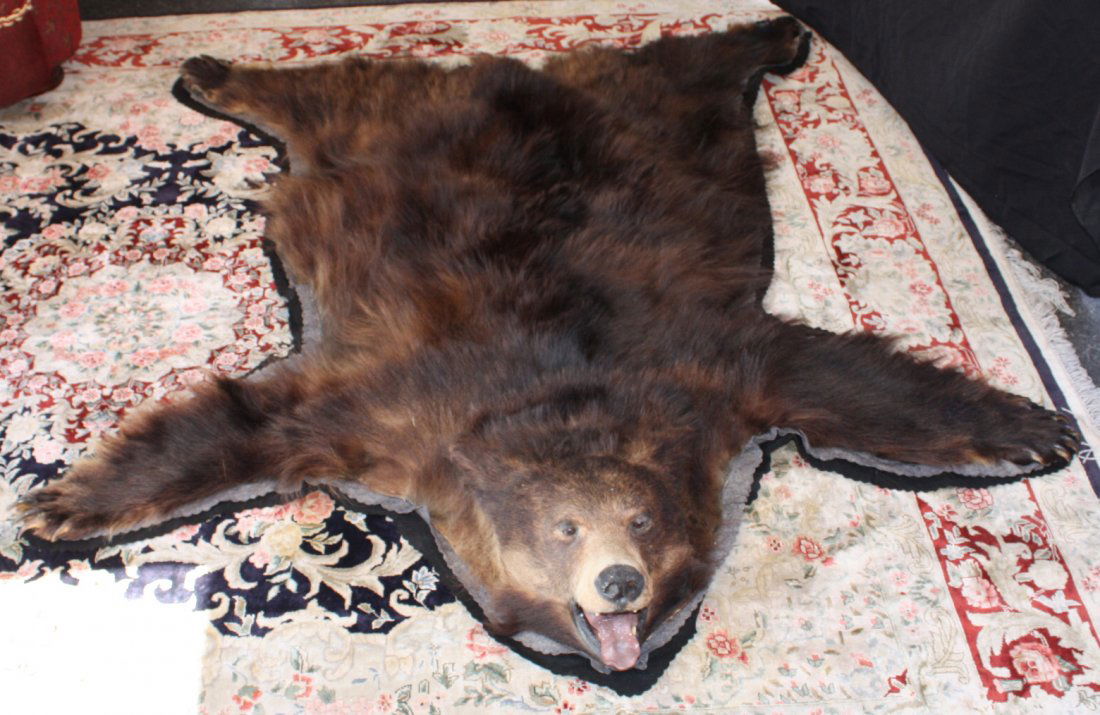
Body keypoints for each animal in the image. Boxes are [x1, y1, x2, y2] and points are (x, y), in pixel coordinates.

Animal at [19, 18, 1080, 673]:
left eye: (643, 521)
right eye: (567, 528)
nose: (618, 580)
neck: (568, 411)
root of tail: (516, 70)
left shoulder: (714, 374)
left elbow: (842, 379)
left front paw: (1035, 425)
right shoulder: (399, 408)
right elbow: (249, 423)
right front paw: (64, 502)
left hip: (673, 129)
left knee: (684, 68)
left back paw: (775, 34)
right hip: (385, 129)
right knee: (341, 87)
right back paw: (214, 74)